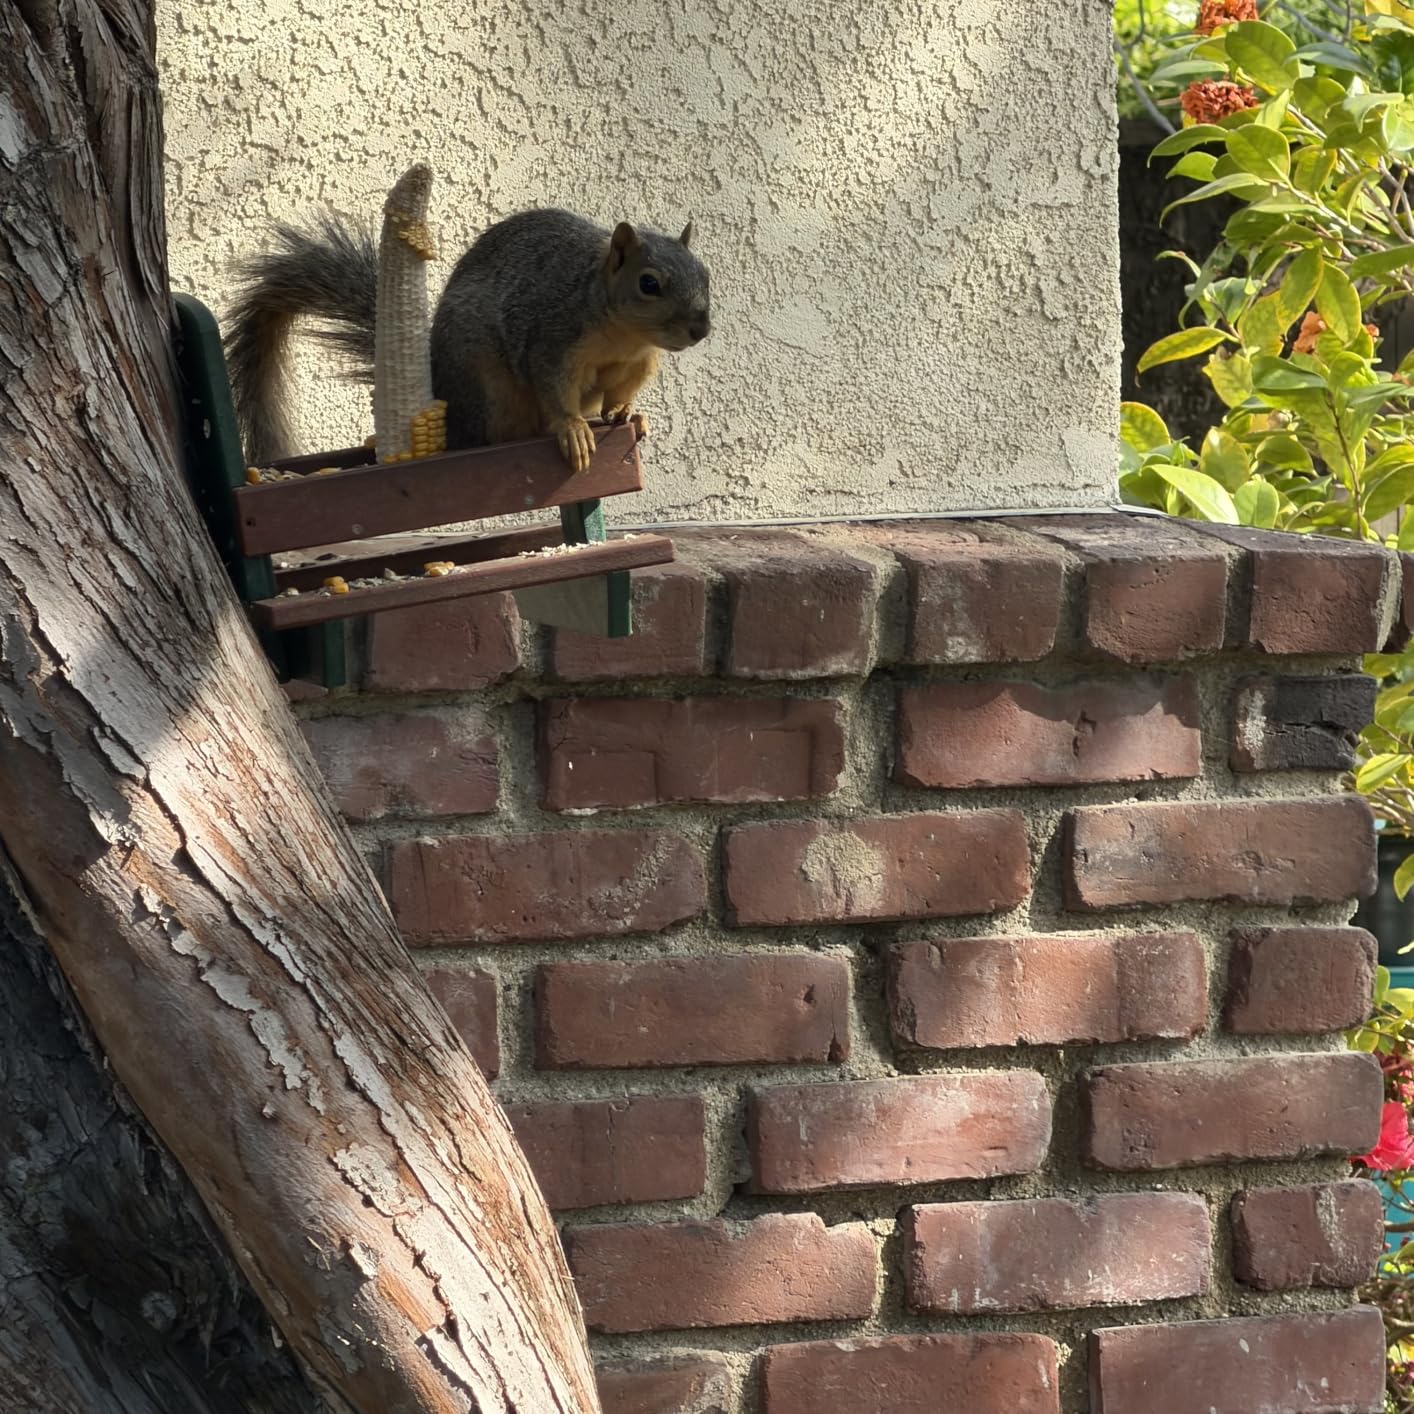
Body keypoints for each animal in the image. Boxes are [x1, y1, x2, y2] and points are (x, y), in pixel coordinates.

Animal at [224, 207, 712, 472]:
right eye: (649, 284)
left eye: (706, 274)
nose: (701, 330)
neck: (624, 336)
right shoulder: (552, 341)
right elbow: (555, 391)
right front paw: (572, 428)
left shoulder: (639, 363)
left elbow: (621, 392)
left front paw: (629, 412)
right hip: (486, 384)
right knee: (490, 434)